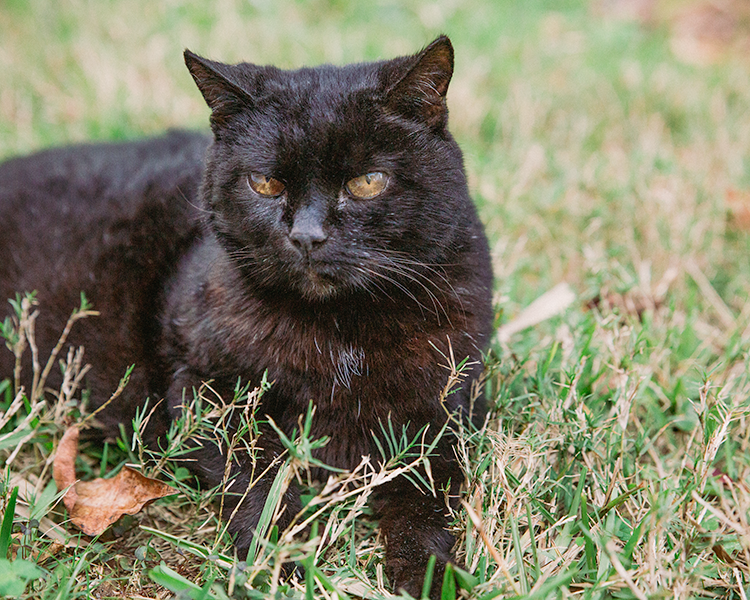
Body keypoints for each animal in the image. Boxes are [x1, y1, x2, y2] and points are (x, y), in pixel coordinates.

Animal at [1, 36, 494, 596]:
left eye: (368, 181)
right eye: (265, 183)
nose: (306, 236)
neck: (340, 329)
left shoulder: (445, 414)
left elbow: (427, 505)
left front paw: (431, 575)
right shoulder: (202, 391)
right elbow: (258, 479)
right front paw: (282, 560)